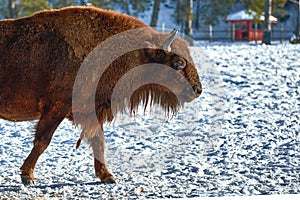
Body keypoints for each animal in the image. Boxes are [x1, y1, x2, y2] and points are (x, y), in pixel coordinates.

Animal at [0, 5, 203, 184]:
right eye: (179, 63)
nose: (197, 89)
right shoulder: (55, 109)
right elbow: (43, 141)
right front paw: (27, 176)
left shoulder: (92, 111)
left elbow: (98, 141)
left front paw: (107, 176)